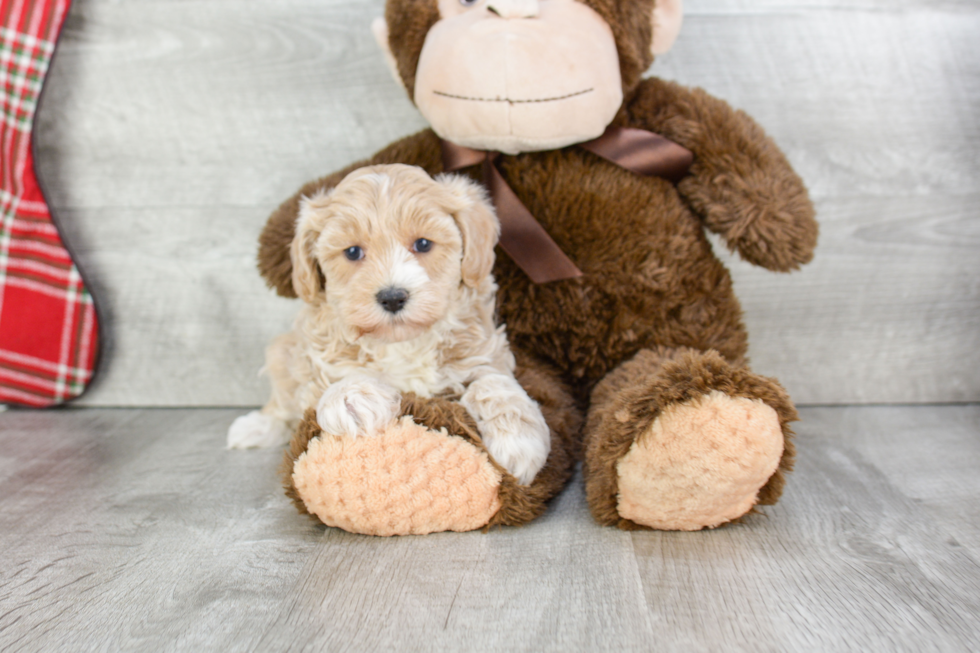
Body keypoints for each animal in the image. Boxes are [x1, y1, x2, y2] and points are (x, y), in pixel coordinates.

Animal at [228, 163, 552, 484]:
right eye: (353, 252)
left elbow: (492, 383)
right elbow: (333, 378)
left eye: (423, 244)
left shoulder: (484, 348)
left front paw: (518, 443)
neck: (402, 342)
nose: (393, 297)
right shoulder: (316, 357)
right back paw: (255, 426)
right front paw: (351, 398)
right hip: (282, 351)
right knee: (282, 402)